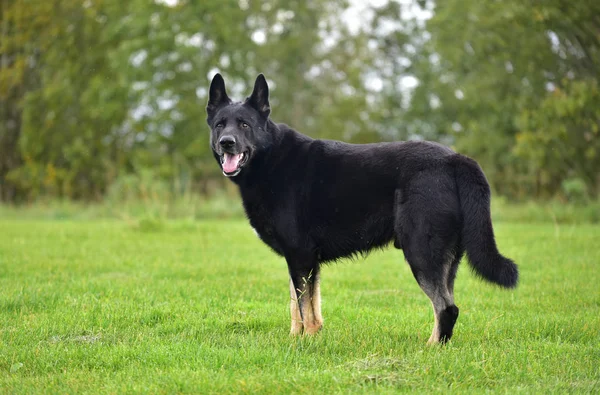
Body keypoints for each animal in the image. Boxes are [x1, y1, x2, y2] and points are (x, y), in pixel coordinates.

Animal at [206, 73, 516, 344]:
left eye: (245, 125)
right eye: (220, 124)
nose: (226, 143)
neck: (269, 159)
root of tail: (455, 159)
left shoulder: (301, 256)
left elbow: (305, 307)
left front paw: (306, 342)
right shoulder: (300, 260)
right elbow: (300, 306)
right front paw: (299, 338)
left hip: (421, 253)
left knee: (446, 308)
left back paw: (430, 348)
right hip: (445, 260)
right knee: (447, 305)